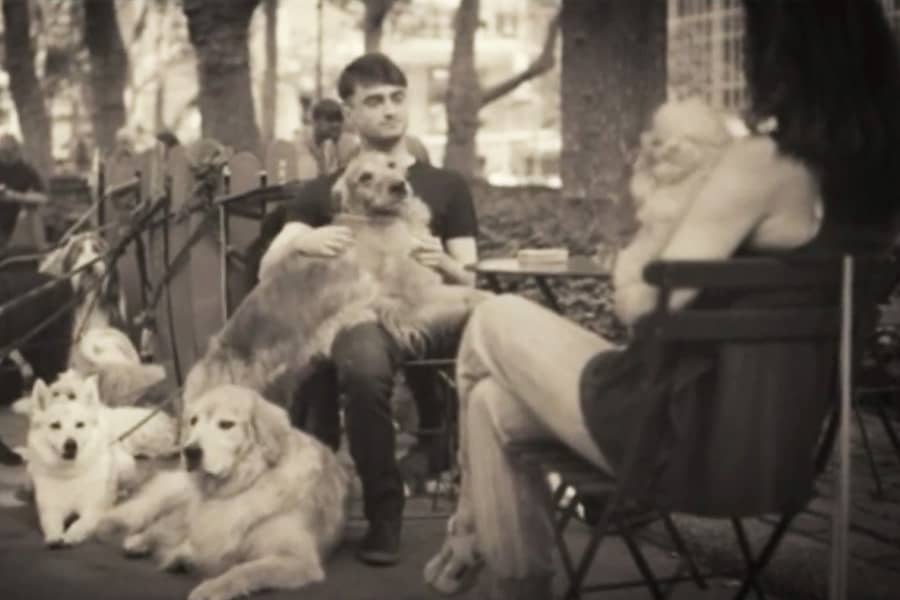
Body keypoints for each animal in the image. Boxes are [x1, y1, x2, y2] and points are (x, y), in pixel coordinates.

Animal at [25, 376, 178, 548]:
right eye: (55, 425)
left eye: (80, 425)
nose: (71, 444)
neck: (71, 473)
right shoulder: (51, 510)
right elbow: (51, 523)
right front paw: (54, 536)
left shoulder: (93, 510)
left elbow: (80, 523)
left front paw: (73, 534)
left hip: (126, 469)